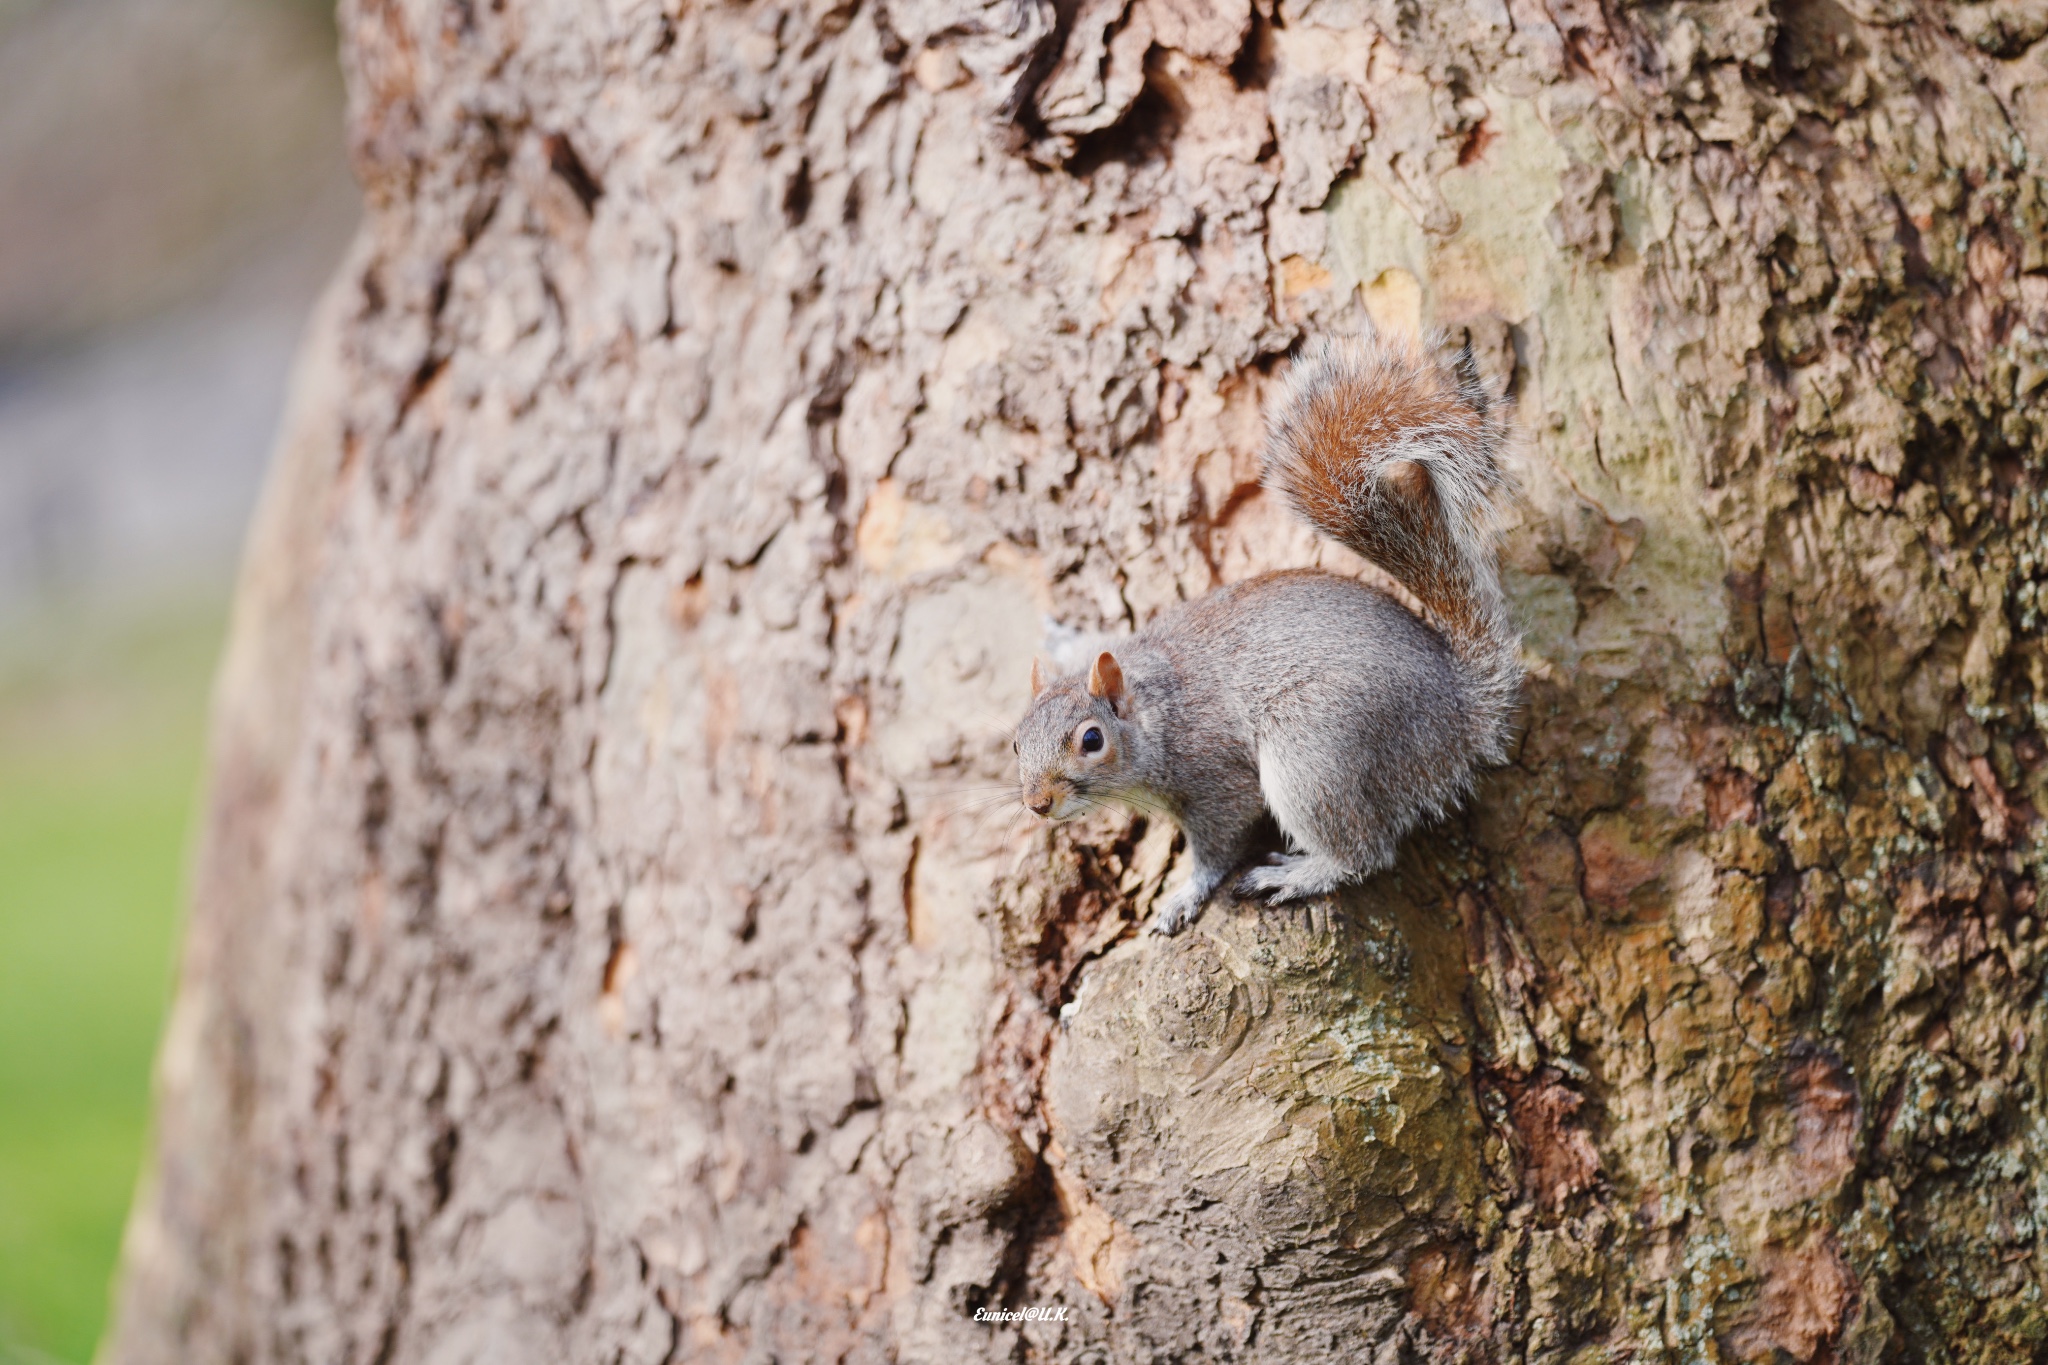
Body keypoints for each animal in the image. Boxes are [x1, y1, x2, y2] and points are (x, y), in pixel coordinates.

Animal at [1011, 327, 1523, 941]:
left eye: (1092, 740)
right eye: (1015, 741)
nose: (1037, 802)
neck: (1152, 711)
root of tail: (1460, 715)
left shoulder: (1216, 780)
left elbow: (1217, 847)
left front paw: (1184, 895)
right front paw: (1063, 634)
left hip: (1315, 749)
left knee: (1365, 852)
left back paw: (1299, 875)